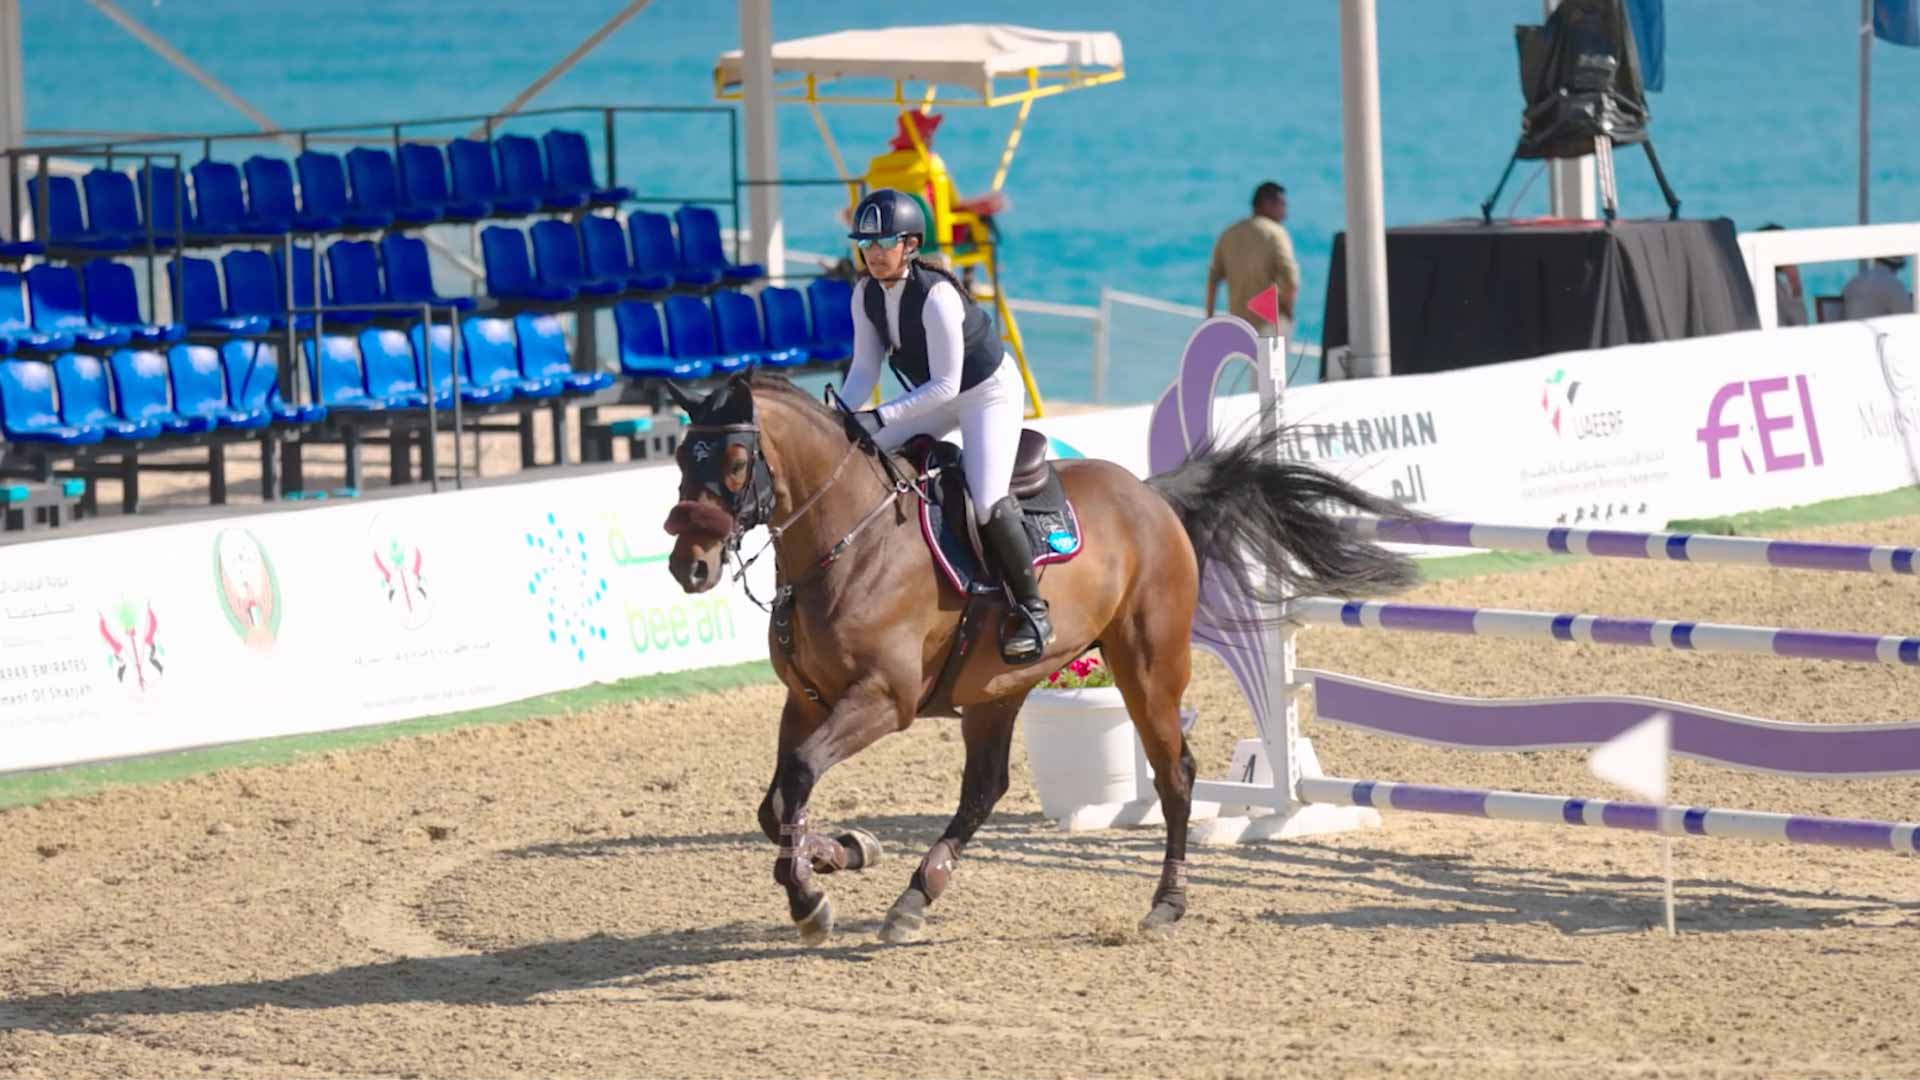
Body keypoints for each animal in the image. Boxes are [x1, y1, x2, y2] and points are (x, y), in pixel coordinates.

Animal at [660, 369, 1418, 944]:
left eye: (734, 465)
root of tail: (1151, 495)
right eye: (678, 463)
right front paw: (844, 852)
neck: (846, 540)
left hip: (1147, 668)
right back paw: (917, 894)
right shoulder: (807, 699)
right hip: (996, 690)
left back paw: (1165, 905)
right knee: (984, 788)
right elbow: (779, 802)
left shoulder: (881, 699)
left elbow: (796, 781)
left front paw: (811, 899)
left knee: (1175, 777)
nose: (688, 568)